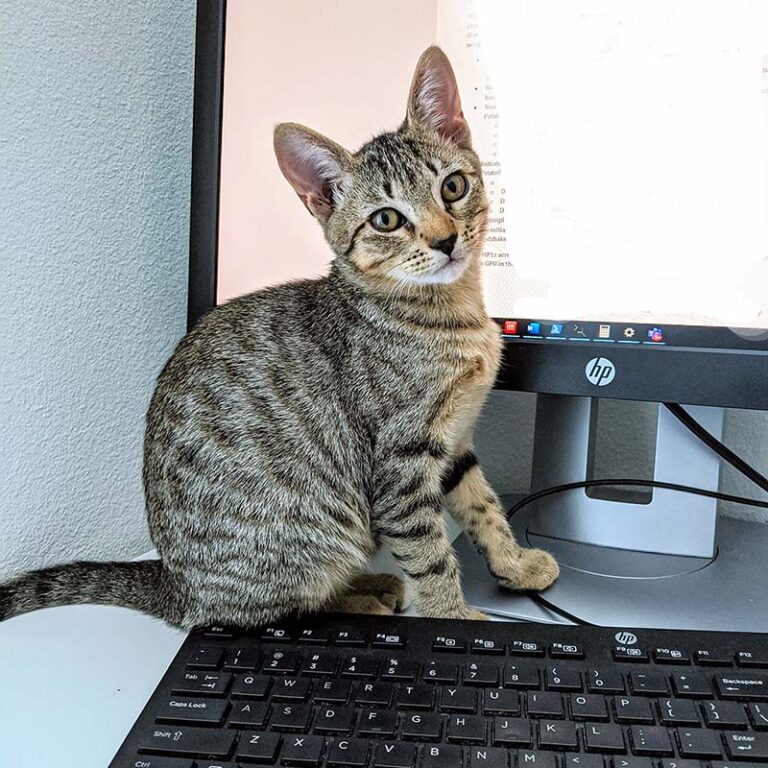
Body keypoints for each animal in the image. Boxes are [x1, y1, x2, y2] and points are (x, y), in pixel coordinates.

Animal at [0, 46, 560, 632]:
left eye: (453, 186)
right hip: (312, 532)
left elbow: (484, 508)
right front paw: (452, 618)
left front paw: (514, 565)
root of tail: (175, 584)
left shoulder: (455, 442)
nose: (446, 239)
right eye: (386, 220)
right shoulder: (400, 462)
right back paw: (365, 592)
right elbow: (430, 554)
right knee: (274, 607)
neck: (447, 313)